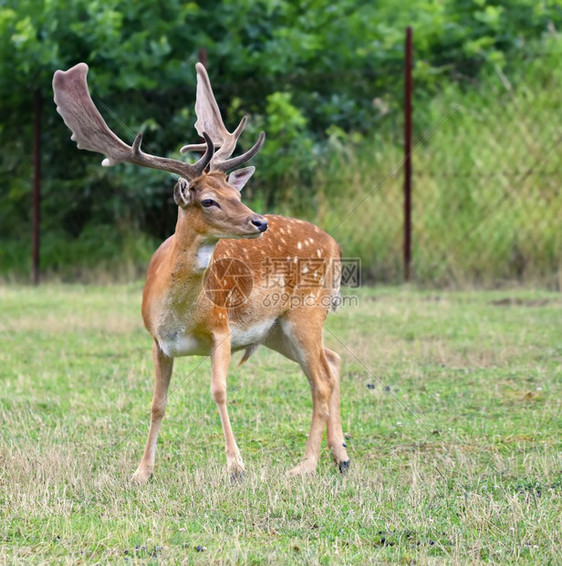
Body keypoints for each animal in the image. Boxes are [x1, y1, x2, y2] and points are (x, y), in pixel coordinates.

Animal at [53, 62, 350, 482]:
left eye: (236, 194)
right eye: (209, 200)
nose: (259, 221)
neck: (179, 314)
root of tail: (334, 245)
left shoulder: (221, 328)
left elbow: (219, 391)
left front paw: (237, 466)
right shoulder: (157, 342)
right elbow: (157, 403)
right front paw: (141, 472)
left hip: (306, 310)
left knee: (321, 379)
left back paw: (305, 465)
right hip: (276, 329)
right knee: (332, 363)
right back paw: (340, 456)